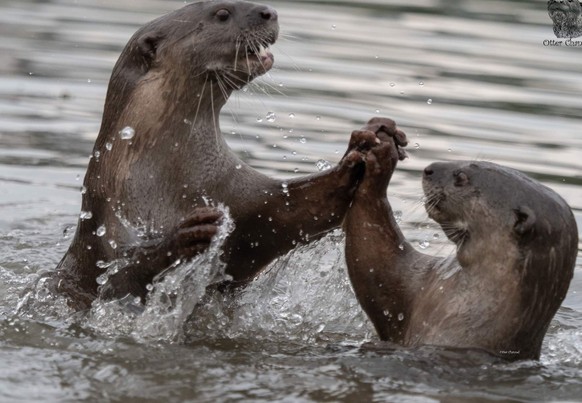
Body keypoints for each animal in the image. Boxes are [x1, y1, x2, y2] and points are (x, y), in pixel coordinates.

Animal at [52, 0, 386, 310]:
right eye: (222, 14)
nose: (269, 11)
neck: (176, 180)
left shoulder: (245, 193)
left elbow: (305, 205)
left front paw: (366, 147)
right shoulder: (109, 228)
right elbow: (119, 278)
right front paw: (187, 235)